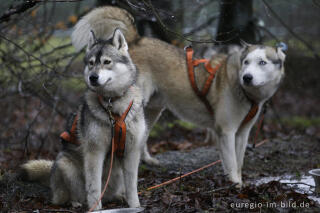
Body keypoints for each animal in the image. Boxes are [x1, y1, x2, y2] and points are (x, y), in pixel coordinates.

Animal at [20, 28, 145, 210]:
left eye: (107, 62)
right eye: (91, 63)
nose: (92, 77)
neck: (112, 104)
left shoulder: (131, 151)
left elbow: (132, 186)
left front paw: (135, 206)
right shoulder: (95, 151)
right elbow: (93, 187)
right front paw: (96, 209)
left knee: (112, 192)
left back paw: (118, 196)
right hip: (65, 165)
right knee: (67, 197)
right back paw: (76, 202)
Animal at [72, 6, 284, 186]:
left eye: (262, 62)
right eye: (246, 62)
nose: (247, 77)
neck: (241, 88)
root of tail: (137, 39)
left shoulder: (241, 133)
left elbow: (237, 163)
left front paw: (236, 182)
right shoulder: (226, 131)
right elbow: (232, 164)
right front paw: (234, 186)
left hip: (153, 109)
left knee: (143, 136)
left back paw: (147, 160)